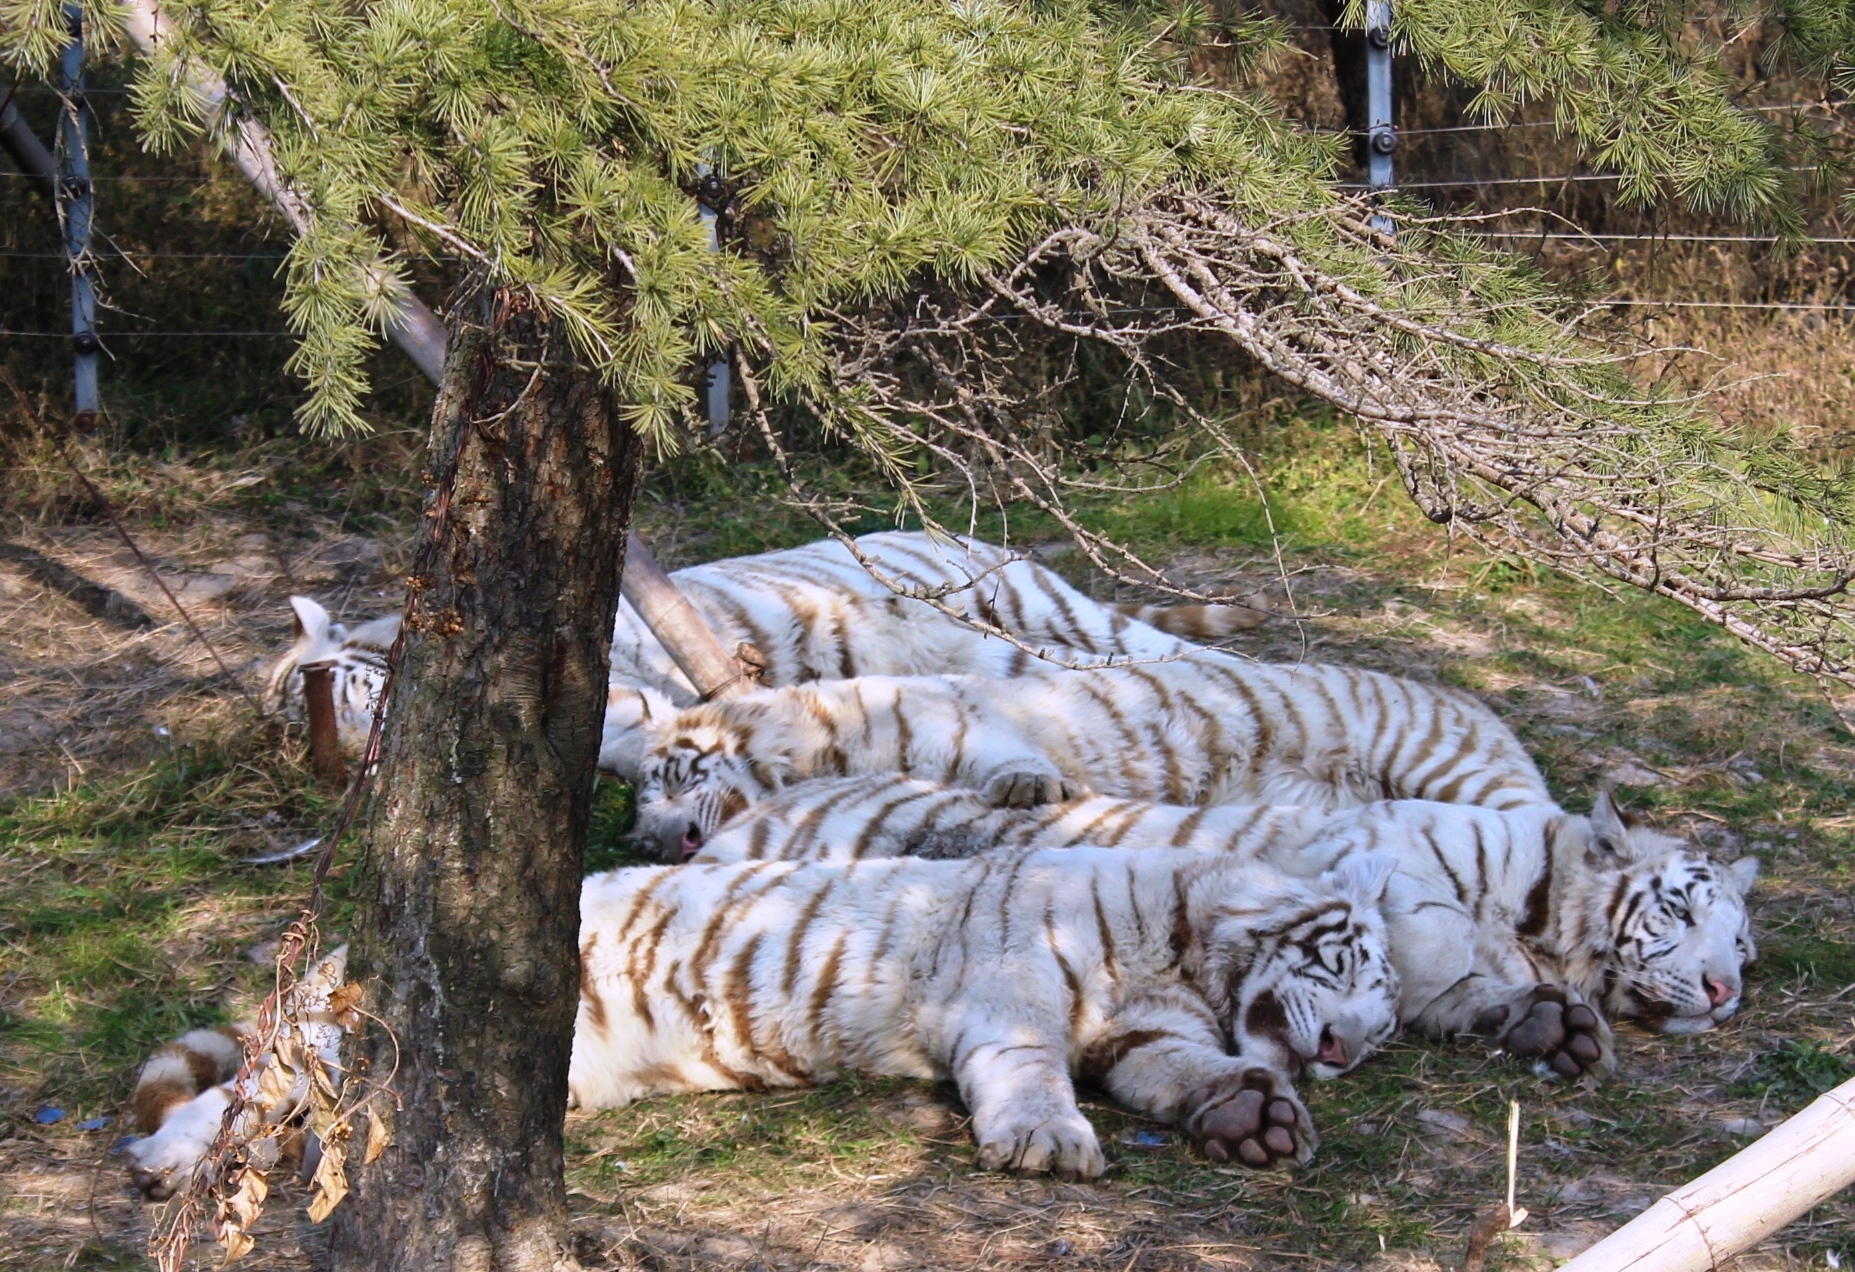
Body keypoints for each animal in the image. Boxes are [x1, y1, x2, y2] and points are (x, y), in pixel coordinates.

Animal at [119, 852, 1394, 1201]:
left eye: (1386, 1027)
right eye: (1355, 963)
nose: (1353, 1048)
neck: (1181, 947)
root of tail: (348, 947)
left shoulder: (1143, 1032)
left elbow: (1187, 1070)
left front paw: (1259, 1121)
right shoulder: (1014, 986)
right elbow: (1033, 1067)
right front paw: (1045, 1143)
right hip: (341, 1038)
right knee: (235, 1095)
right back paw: (163, 1163)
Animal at [693, 778, 1751, 1082]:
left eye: (1743, 945)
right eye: (1681, 910)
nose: (1725, 990)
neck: (1541, 914)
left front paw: (1550, 1024)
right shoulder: (1379, 857)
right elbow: (1433, 941)